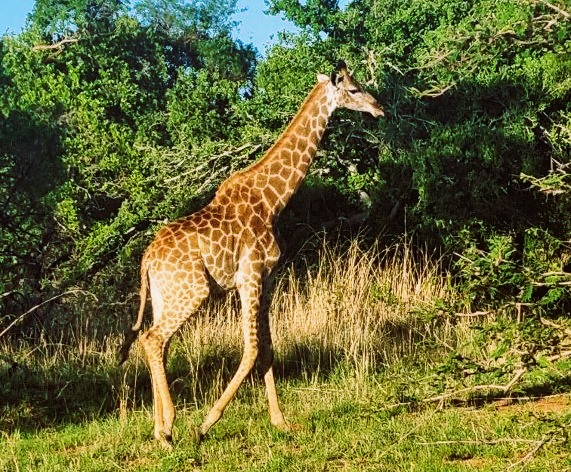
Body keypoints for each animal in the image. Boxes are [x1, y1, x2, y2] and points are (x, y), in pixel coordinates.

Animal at [118, 60, 382, 446]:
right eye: (352, 89)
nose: (379, 108)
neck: (272, 200)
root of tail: (147, 259)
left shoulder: (267, 279)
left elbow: (268, 349)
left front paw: (281, 422)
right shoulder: (249, 276)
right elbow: (252, 349)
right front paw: (207, 423)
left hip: (164, 295)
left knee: (154, 342)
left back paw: (158, 429)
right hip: (193, 291)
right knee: (154, 340)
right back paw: (170, 429)